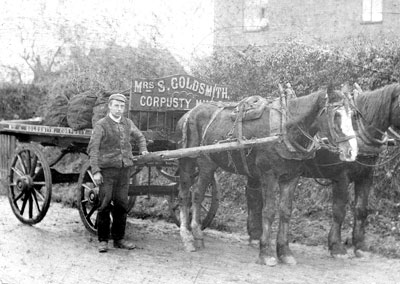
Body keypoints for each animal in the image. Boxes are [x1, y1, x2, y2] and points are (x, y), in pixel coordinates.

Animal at [177, 87, 358, 266]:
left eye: (352, 115)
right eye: (336, 114)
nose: (352, 151)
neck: (285, 129)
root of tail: (188, 113)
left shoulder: (291, 177)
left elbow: (285, 211)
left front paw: (284, 251)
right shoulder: (268, 175)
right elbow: (269, 211)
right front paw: (266, 252)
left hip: (208, 164)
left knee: (197, 194)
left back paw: (196, 234)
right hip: (192, 161)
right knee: (187, 194)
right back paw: (187, 236)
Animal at [245, 82, 400, 260]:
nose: (351, 151)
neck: (360, 130)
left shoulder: (366, 176)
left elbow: (361, 210)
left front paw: (360, 246)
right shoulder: (341, 177)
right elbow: (339, 211)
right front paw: (336, 246)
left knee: (253, 197)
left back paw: (255, 235)